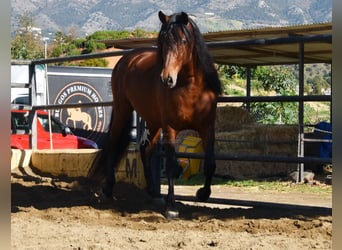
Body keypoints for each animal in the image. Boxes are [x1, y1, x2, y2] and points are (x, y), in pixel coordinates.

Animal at [89, 11, 222, 219]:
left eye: (183, 41)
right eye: (163, 41)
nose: (167, 79)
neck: (191, 88)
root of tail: (127, 58)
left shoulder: (207, 128)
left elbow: (210, 164)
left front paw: (203, 193)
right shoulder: (171, 129)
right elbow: (171, 166)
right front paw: (172, 207)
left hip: (153, 121)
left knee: (146, 148)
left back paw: (153, 192)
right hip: (123, 110)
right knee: (113, 143)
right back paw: (108, 189)